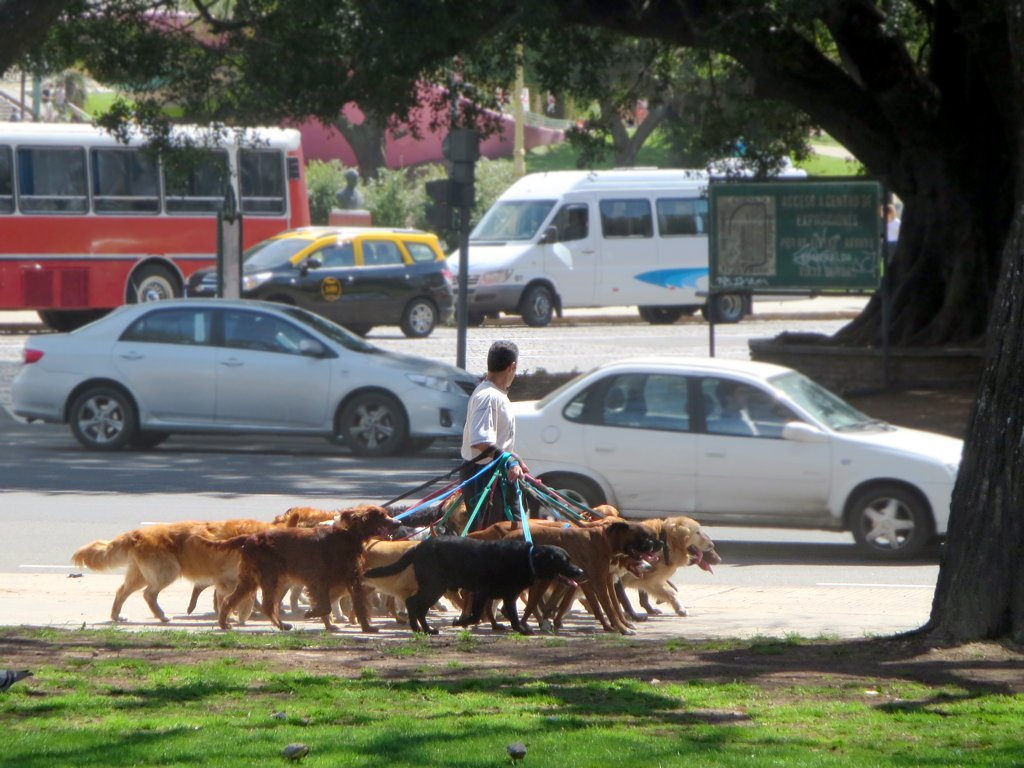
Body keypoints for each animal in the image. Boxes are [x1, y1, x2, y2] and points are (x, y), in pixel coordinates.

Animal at [72, 518, 272, 626]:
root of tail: (137, 533)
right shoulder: (230, 579)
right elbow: (246, 599)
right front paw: (242, 617)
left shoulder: (226, 580)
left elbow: (231, 600)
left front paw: (230, 616)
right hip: (168, 571)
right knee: (148, 594)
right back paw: (161, 616)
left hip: (141, 575)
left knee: (122, 591)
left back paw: (117, 616)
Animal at [364, 536, 581, 638]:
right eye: (564, 561)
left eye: (570, 559)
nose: (580, 571)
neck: (527, 559)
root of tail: (418, 547)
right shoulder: (481, 592)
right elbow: (476, 615)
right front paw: (460, 622)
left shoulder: (509, 596)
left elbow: (513, 615)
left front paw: (521, 629)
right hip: (434, 587)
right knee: (413, 603)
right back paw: (420, 629)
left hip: (435, 588)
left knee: (418, 606)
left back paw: (424, 629)